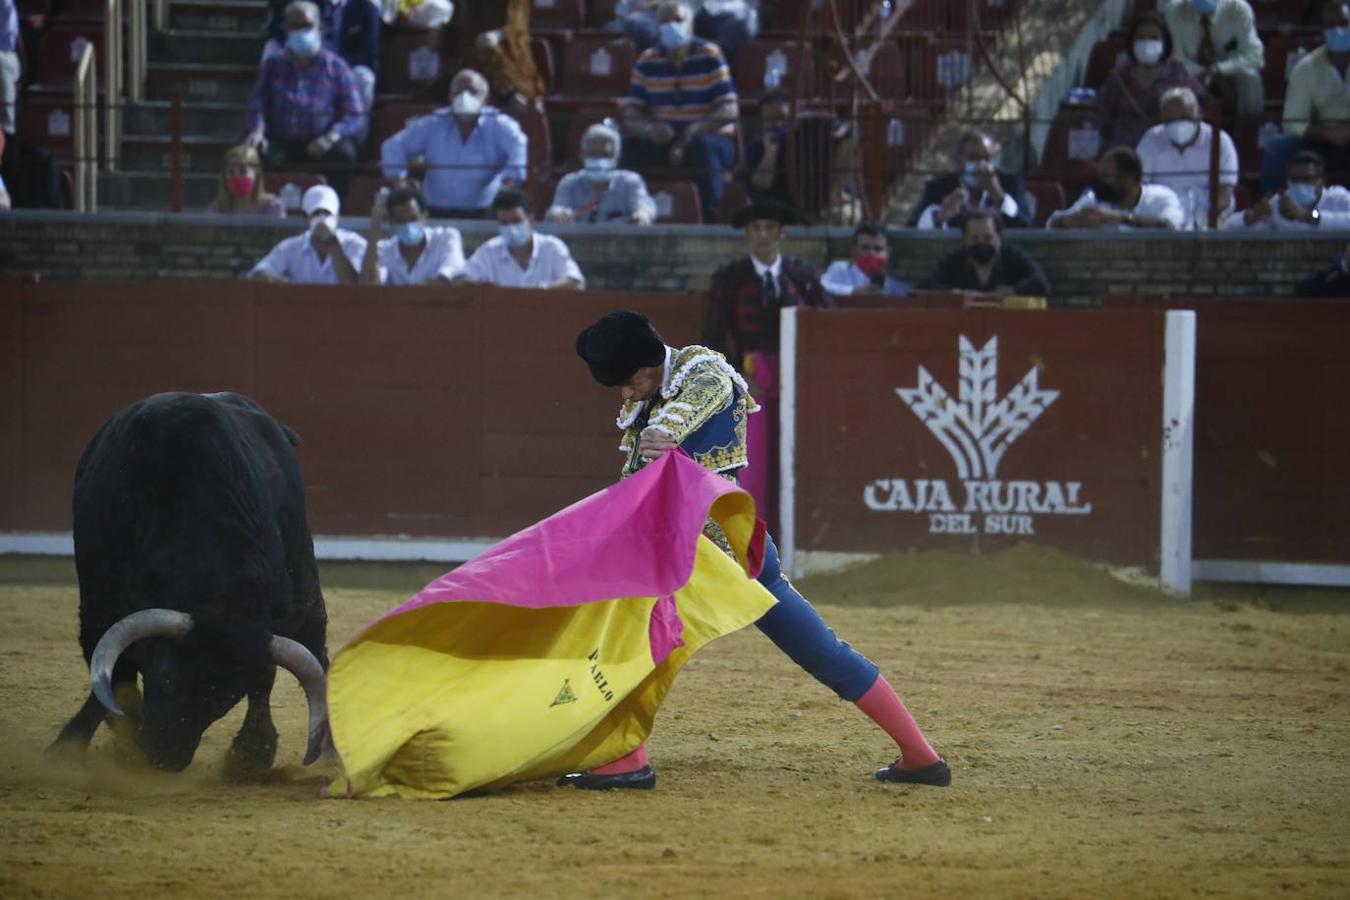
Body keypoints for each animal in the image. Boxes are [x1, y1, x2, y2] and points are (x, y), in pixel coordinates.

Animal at [51, 391, 330, 771]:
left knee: (314, 650)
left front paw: (251, 754)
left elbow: (262, 679)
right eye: (168, 681)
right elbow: (110, 672)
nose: (165, 758)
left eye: (225, 699)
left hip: (304, 583)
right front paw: (79, 747)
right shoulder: (98, 605)